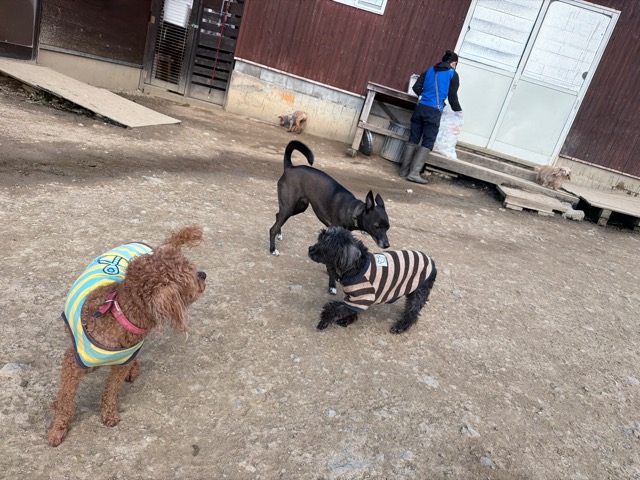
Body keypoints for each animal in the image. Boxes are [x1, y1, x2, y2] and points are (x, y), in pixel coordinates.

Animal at [47, 226, 207, 447]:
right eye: (189, 276)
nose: (203, 274)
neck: (120, 314)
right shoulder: (72, 362)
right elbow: (65, 400)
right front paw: (58, 429)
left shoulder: (121, 364)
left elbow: (112, 390)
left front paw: (109, 414)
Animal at [270, 140, 390, 294]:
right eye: (377, 227)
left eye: (387, 227)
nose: (387, 245)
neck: (351, 209)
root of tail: (290, 167)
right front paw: (332, 285)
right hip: (289, 208)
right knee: (273, 227)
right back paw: (273, 249)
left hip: (298, 207)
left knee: (277, 215)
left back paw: (279, 234)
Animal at [308, 227, 437, 334]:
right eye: (319, 240)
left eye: (325, 247)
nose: (310, 249)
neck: (357, 266)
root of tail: (432, 262)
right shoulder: (355, 298)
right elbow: (347, 308)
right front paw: (347, 320)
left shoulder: (362, 297)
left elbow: (336, 309)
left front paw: (325, 320)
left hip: (419, 293)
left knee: (413, 312)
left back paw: (400, 327)